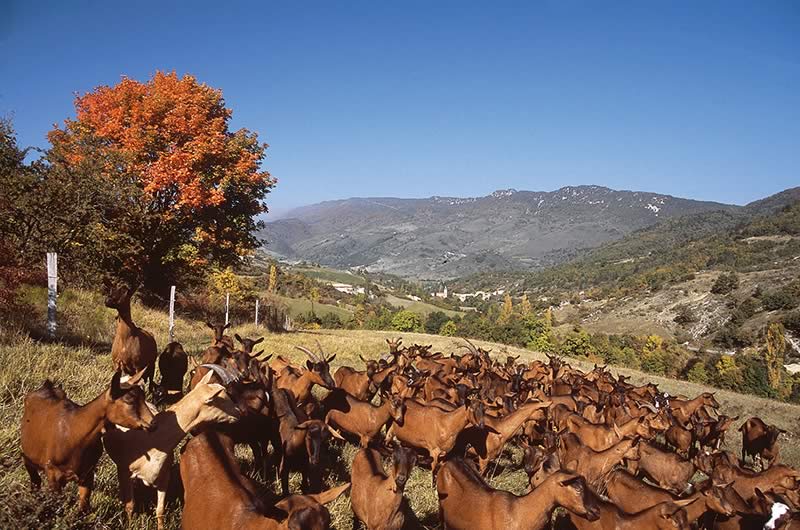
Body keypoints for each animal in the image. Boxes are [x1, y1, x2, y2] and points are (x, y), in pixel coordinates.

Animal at [21, 369, 153, 513]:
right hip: (28, 457)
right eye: (129, 401)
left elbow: (84, 507)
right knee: (34, 478)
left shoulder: (88, 473)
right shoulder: (52, 475)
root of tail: (46, 387)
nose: (153, 423)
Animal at [103, 370, 240, 529]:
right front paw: (130, 525)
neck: (151, 440)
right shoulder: (126, 472)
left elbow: (160, 510)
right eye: (222, 400)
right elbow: (130, 506)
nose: (239, 412)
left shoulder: (164, 476)